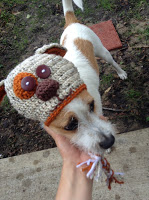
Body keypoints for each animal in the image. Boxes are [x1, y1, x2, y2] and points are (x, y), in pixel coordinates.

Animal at [0, 0, 127, 155]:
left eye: (92, 105)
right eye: (70, 125)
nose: (110, 141)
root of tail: (72, 23)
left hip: (102, 52)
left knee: (113, 61)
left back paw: (121, 73)